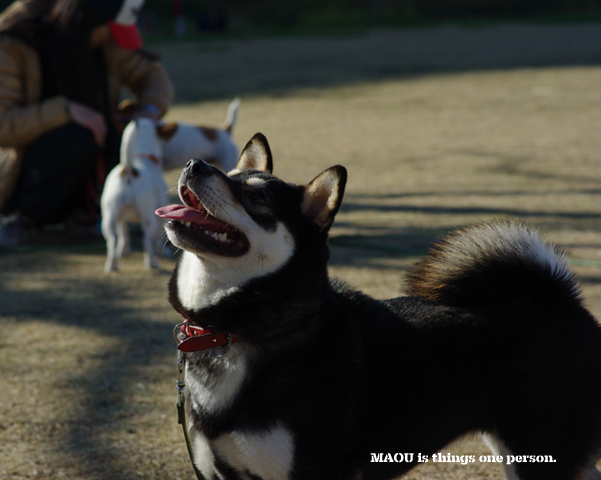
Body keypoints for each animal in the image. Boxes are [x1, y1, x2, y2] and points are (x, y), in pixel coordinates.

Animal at [157, 132, 600, 480]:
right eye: (229, 176)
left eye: (258, 197)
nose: (196, 165)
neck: (231, 329)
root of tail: (562, 299)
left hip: (540, 455)